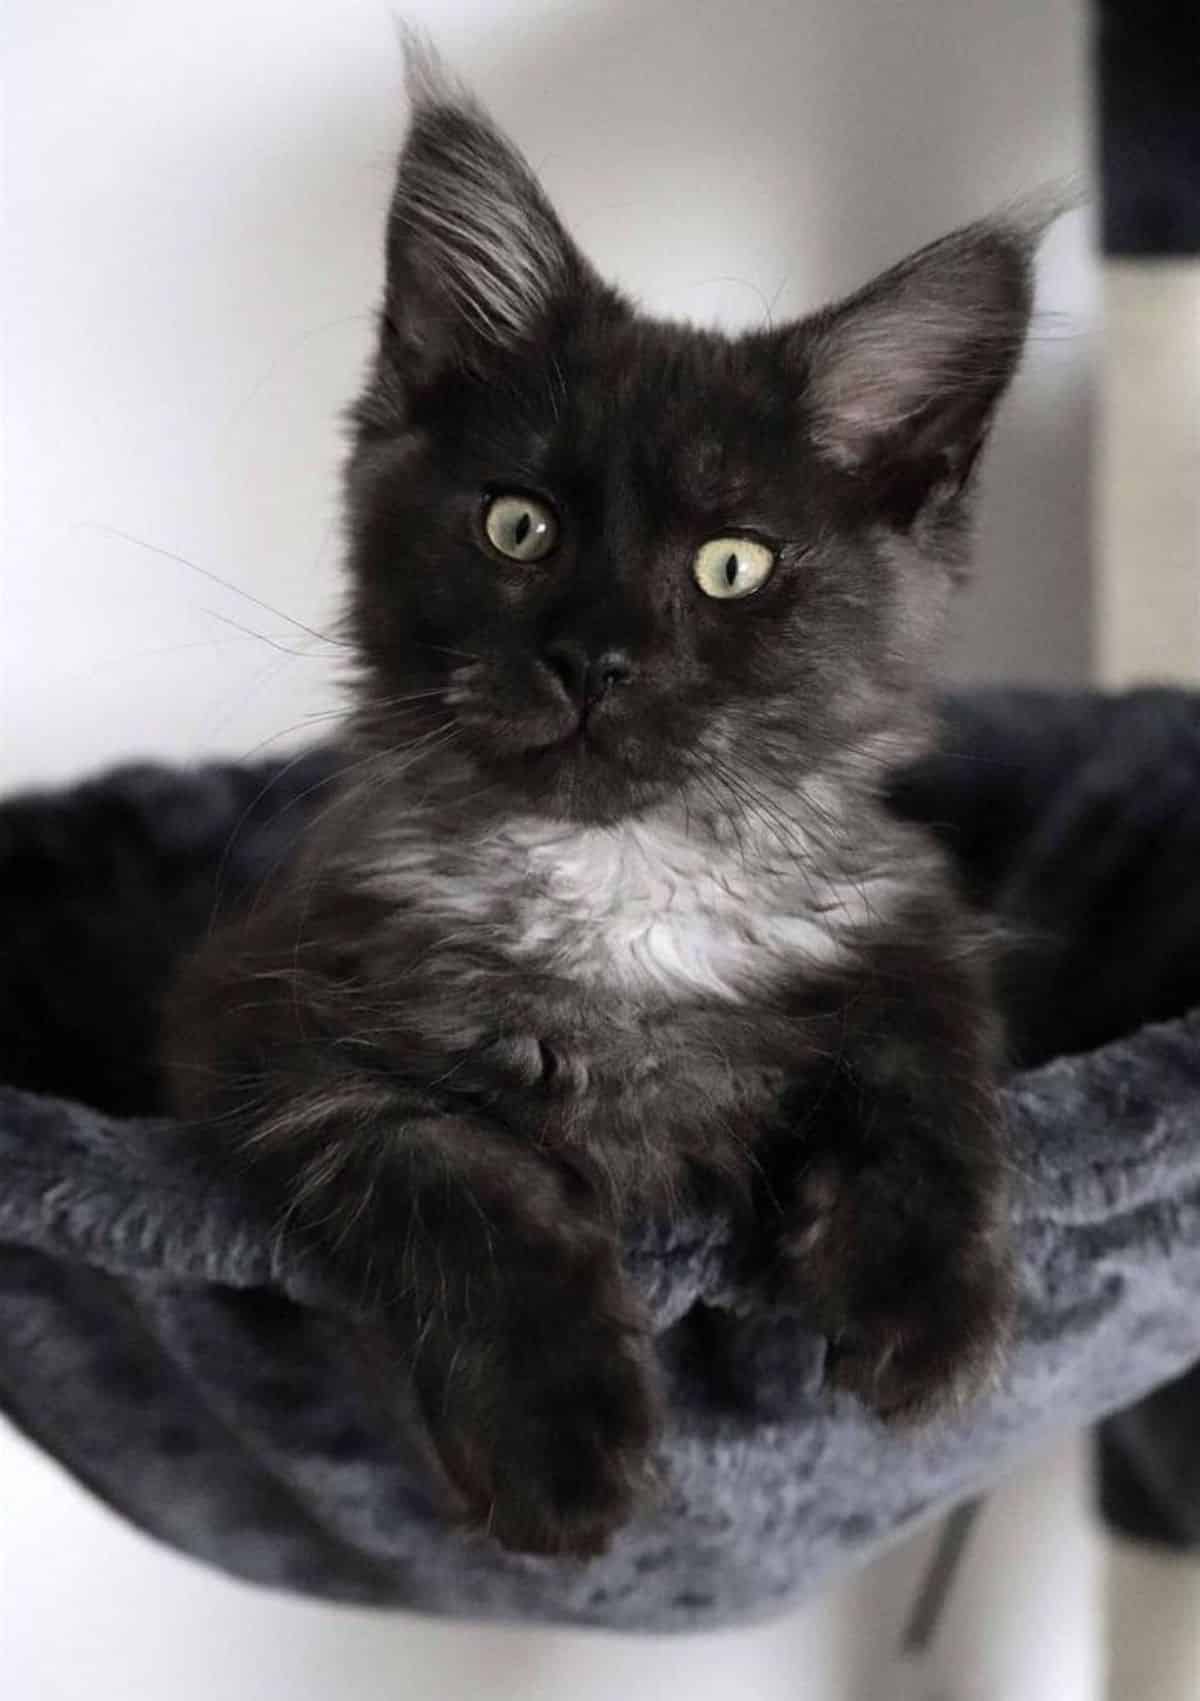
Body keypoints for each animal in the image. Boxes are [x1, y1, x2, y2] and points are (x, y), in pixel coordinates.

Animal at [161, 43, 1048, 1558]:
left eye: (733, 564)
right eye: (519, 526)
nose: (591, 657)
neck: (627, 884)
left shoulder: (902, 911)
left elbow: (930, 1064)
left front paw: (928, 1311)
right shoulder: (259, 1019)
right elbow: (456, 1179)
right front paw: (558, 1433)